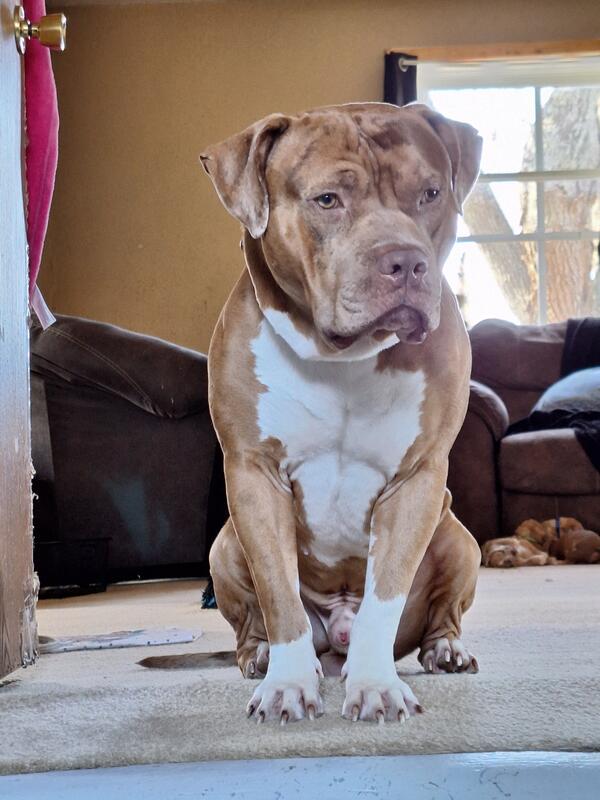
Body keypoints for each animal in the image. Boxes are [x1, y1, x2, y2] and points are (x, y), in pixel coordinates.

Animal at [200, 102, 482, 724]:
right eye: (327, 199)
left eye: (430, 193)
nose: (406, 263)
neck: (342, 357)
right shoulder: (254, 475)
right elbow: (279, 596)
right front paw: (285, 686)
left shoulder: (416, 480)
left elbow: (385, 594)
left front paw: (376, 686)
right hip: (224, 545)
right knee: (252, 624)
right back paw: (262, 659)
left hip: (459, 537)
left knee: (440, 614)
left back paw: (445, 651)